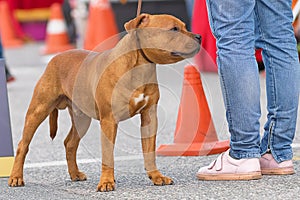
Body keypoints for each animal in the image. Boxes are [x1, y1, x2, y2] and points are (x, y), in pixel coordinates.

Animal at [8, 13, 200, 191]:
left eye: (184, 26)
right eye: (174, 29)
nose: (199, 36)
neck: (138, 67)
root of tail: (55, 58)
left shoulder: (149, 117)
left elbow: (149, 150)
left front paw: (156, 176)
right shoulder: (109, 120)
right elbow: (108, 154)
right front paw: (107, 182)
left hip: (81, 119)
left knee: (70, 143)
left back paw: (75, 174)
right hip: (38, 110)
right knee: (23, 145)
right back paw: (16, 177)